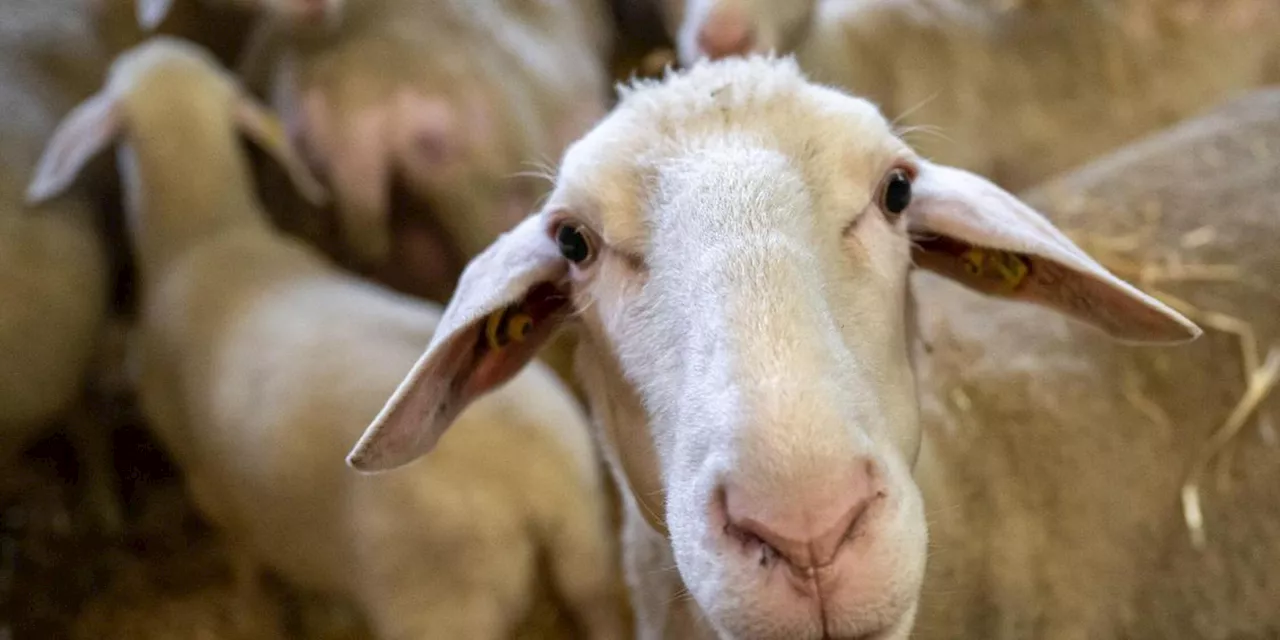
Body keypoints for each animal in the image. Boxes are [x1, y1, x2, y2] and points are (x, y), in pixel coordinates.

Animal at [27, 36, 627, 640]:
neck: (206, 236)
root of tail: (539, 480)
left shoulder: (208, 483)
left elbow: (245, 559)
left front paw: (249, 610)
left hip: (439, 602)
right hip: (589, 553)